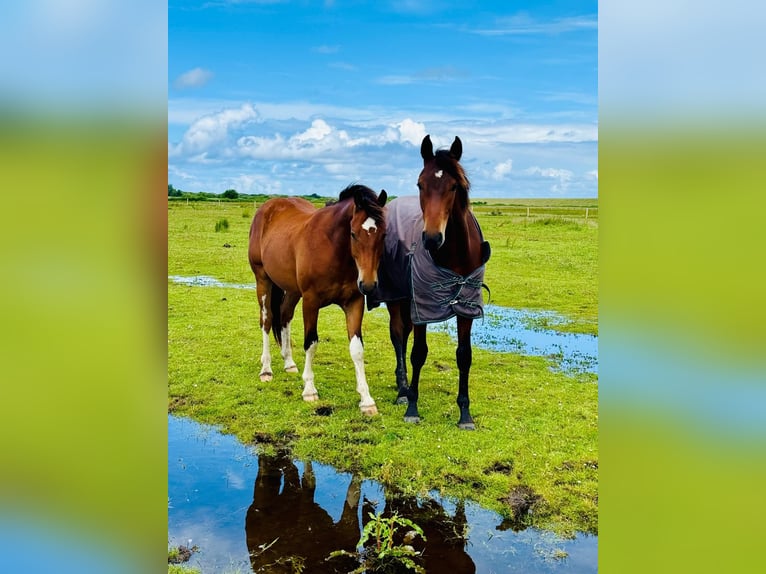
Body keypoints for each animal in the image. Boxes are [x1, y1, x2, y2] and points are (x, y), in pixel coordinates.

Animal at [249, 187, 388, 416]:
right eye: (353, 233)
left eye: (384, 234)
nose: (368, 285)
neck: (333, 249)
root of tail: (266, 208)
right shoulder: (311, 302)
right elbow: (311, 343)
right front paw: (309, 390)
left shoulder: (354, 302)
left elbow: (357, 349)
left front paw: (366, 400)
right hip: (263, 280)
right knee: (267, 321)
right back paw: (266, 369)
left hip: (292, 290)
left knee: (285, 316)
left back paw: (289, 363)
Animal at [374, 137, 492, 430]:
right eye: (420, 184)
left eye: (454, 186)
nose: (431, 238)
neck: (455, 254)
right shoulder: (423, 307)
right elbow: (418, 352)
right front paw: (412, 408)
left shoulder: (466, 307)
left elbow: (464, 355)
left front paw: (465, 414)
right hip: (397, 297)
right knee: (398, 335)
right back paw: (403, 390)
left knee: (402, 333)